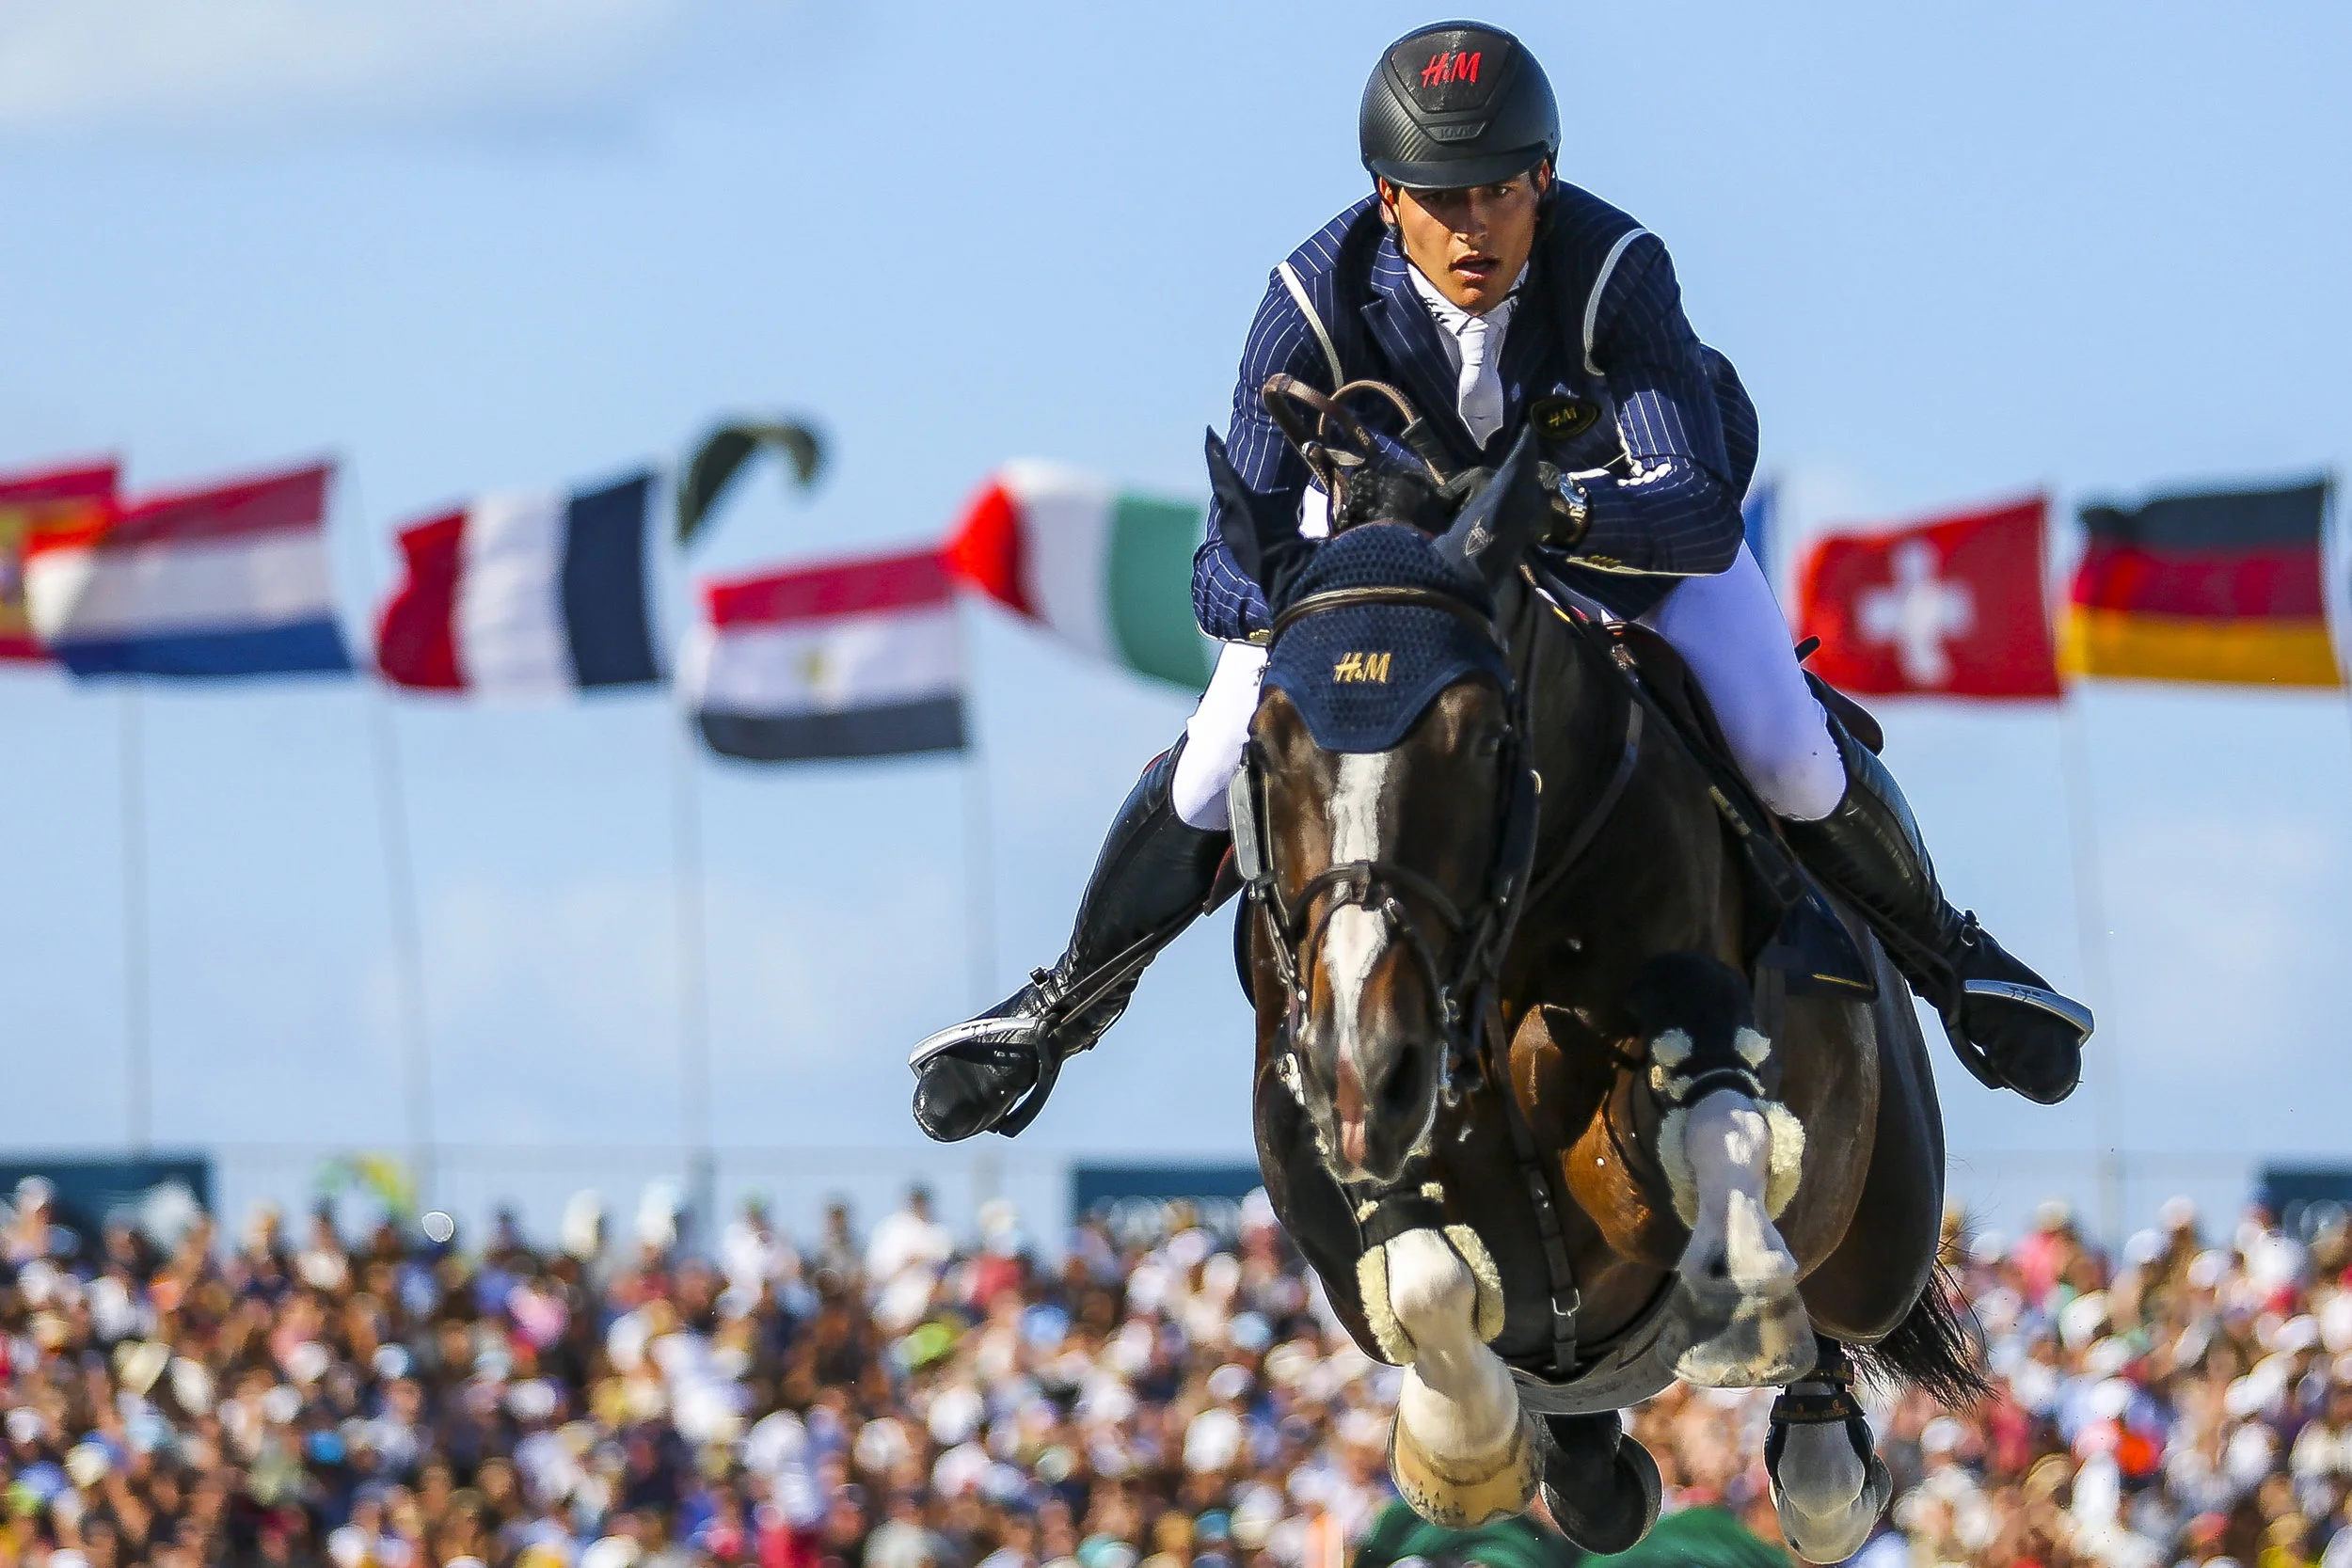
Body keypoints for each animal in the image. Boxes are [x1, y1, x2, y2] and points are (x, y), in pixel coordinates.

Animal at [1214, 422, 1985, 1560]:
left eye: (1485, 738)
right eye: (1266, 745)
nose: (1374, 1055)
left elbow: (1715, 1127)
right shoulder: (1313, 1116)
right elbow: (1420, 1263)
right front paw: (1460, 1446)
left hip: (1885, 1237)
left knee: (1834, 1327)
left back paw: (1816, 1459)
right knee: (1583, 1438)